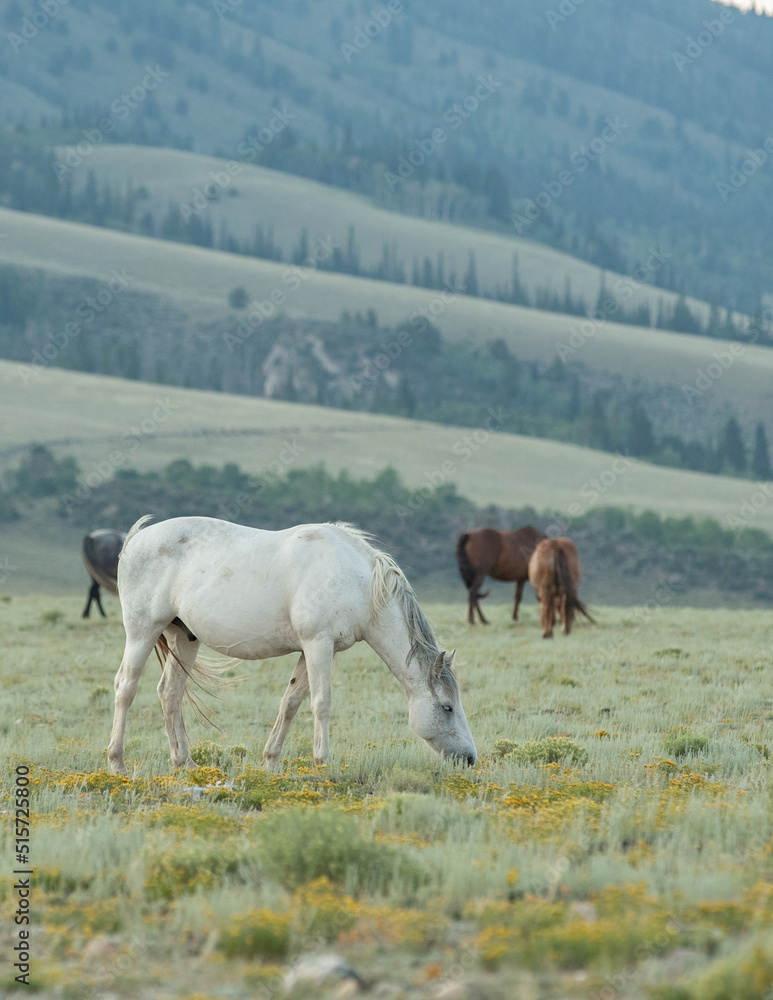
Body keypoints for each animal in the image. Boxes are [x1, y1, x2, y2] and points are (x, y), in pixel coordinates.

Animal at [108, 516, 477, 774]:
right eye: (447, 707)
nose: (470, 758)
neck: (356, 580)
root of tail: (135, 540)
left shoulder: (310, 651)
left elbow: (291, 703)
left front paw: (271, 761)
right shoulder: (318, 645)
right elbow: (321, 703)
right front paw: (323, 762)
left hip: (184, 639)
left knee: (170, 693)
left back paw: (184, 763)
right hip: (142, 632)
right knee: (126, 687)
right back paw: (117, 762)